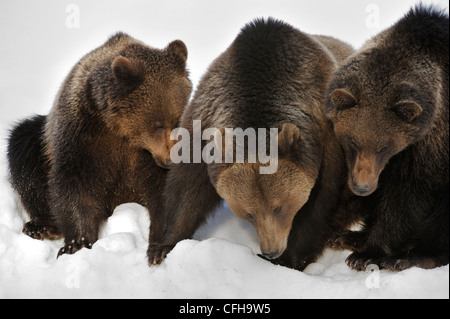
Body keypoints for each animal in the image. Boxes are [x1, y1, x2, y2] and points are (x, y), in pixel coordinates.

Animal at [7, 31, 192, 258]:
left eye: (179, 120)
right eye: (158, 124)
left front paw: (159, 247)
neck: (121, 130)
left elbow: (167, 192)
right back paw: (41, 226)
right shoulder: (82, 136)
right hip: (41, 142)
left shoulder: (144, 157)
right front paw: (76, 244)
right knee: (23, 149)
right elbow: (75, 185)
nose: (173, 157)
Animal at [148, 18, 356, 272]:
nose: (270, 250)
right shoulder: (204, 123)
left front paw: (287, 259)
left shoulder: (324, 137)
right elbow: (187, 189)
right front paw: (162, 248)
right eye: (248, 213)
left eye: (279, 207)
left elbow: (320, 201)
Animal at [326, 4, 448, 270]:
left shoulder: (428, 151)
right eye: (352, 141)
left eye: (384, 146)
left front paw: (369, 254)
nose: (362, 187)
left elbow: (404, 199)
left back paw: (416, 255)